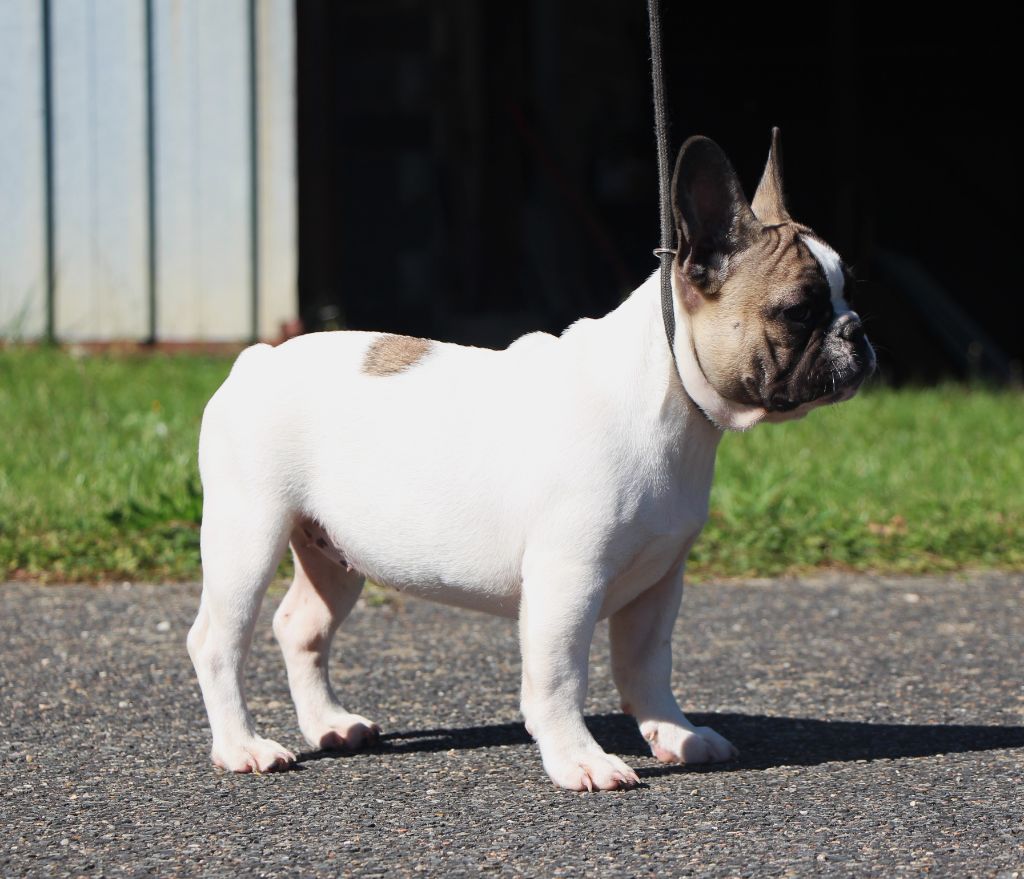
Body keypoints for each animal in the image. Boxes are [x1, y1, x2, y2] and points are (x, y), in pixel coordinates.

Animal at [186, 130, 872, 786]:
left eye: (848, 294)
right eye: (800, 311)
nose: (858, 331)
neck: (668, 392)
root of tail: (256, 358)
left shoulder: (658, 583)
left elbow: (647, 666)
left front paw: (675, 734)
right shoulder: (568, 579)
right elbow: (561, 677)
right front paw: (579, 759)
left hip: (333, 549)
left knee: (300, 626)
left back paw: (329, 725)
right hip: (248, 534)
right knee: (217, 641)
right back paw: (243, 747)